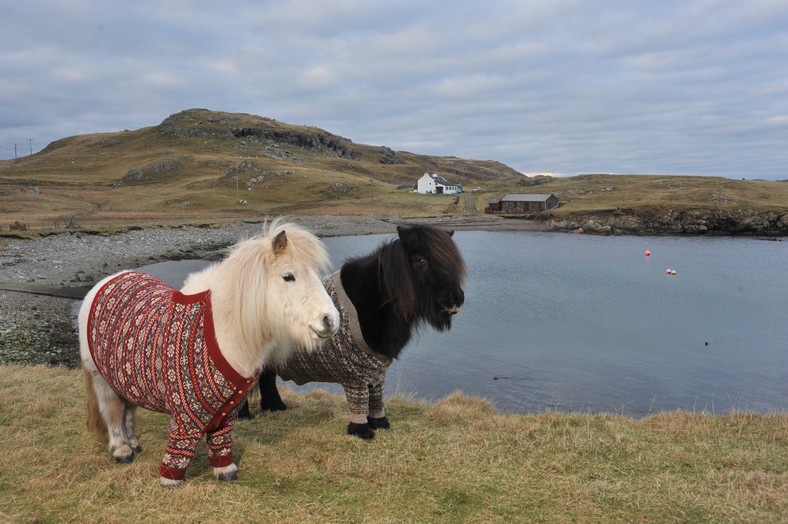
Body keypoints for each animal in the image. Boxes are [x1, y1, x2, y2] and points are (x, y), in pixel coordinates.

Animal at [80, 221, 338, 488]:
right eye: (288, 276)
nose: (330, 321)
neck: (221, 331)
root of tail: (105, 282)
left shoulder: (227, 413)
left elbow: (221, 442)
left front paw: (225, 471)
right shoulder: (184, 416)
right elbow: (180, 446)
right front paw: (171, 480)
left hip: (126, 379)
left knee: (128, 410)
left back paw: (133, 443)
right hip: (102, 379)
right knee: (112, 412)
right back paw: (122, 450)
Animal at [237, 224, 464, 438]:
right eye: (421, 261)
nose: (456, 299)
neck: (372, 301)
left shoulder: (376, 371)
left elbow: (376, 400)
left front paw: (380, 424)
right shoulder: (356, 375)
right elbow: (360, 403)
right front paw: (362, 431)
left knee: (267, 378)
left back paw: (276, 408)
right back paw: (244, 416)